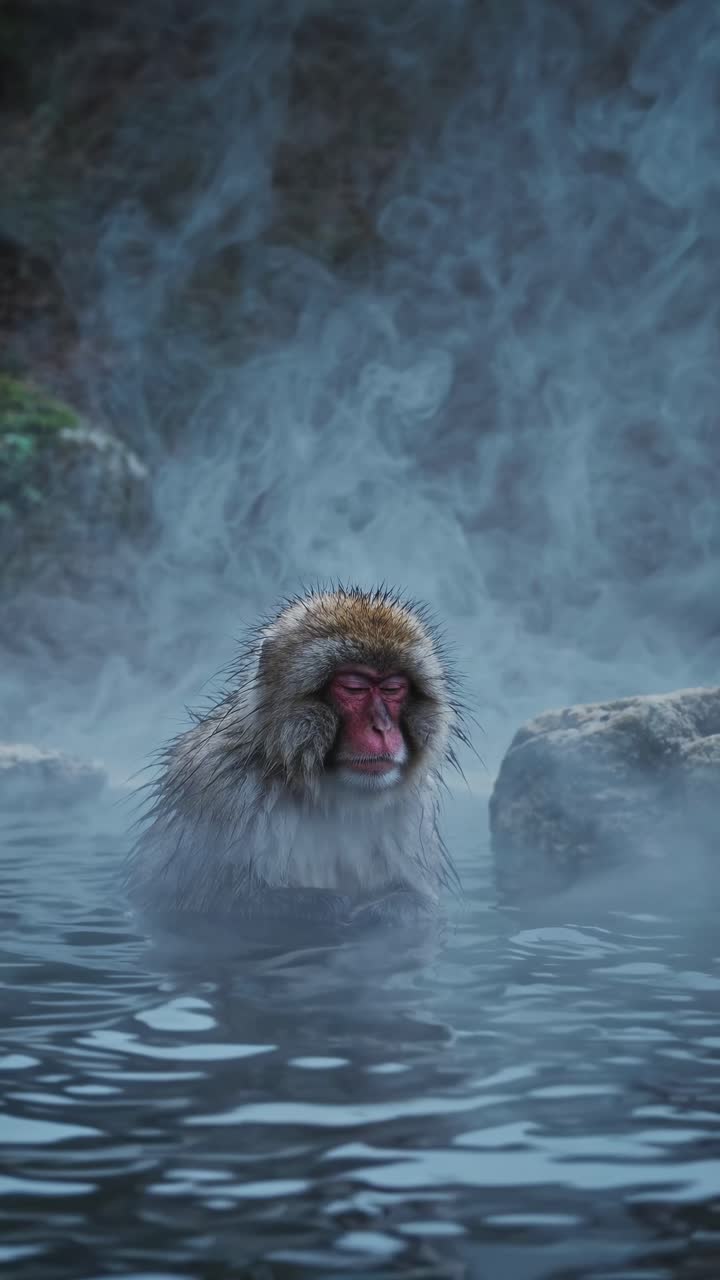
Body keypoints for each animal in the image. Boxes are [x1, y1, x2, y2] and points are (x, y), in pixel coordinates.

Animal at [126, 585, 468, 928]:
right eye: (354, 688)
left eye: (393, 689)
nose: (382, 728)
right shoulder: (219, 788)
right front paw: (328, 906)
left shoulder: (410, 808)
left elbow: (417, 901)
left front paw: (378, 913)